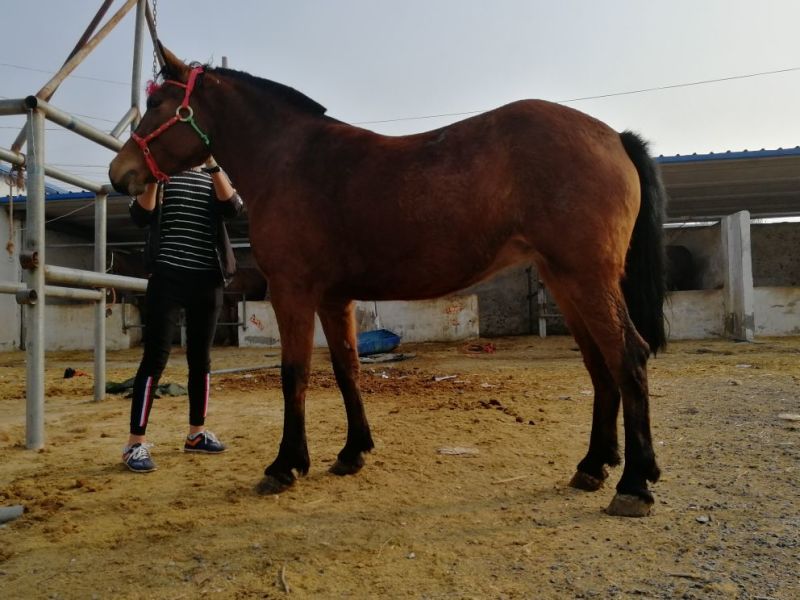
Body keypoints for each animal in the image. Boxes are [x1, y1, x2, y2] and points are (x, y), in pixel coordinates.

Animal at [110, 44, 668, 517]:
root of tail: (613, 136)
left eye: (158, 102)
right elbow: (347, 369)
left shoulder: (294, 292)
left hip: (586, 279)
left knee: (628, 357)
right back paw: (593, 466)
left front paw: (286, 464)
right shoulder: (334, 298)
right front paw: (352, 452)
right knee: (600, 364)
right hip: (566, 281)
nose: (121, 173)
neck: (290, 160)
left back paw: (634, 484)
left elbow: (294, 374)